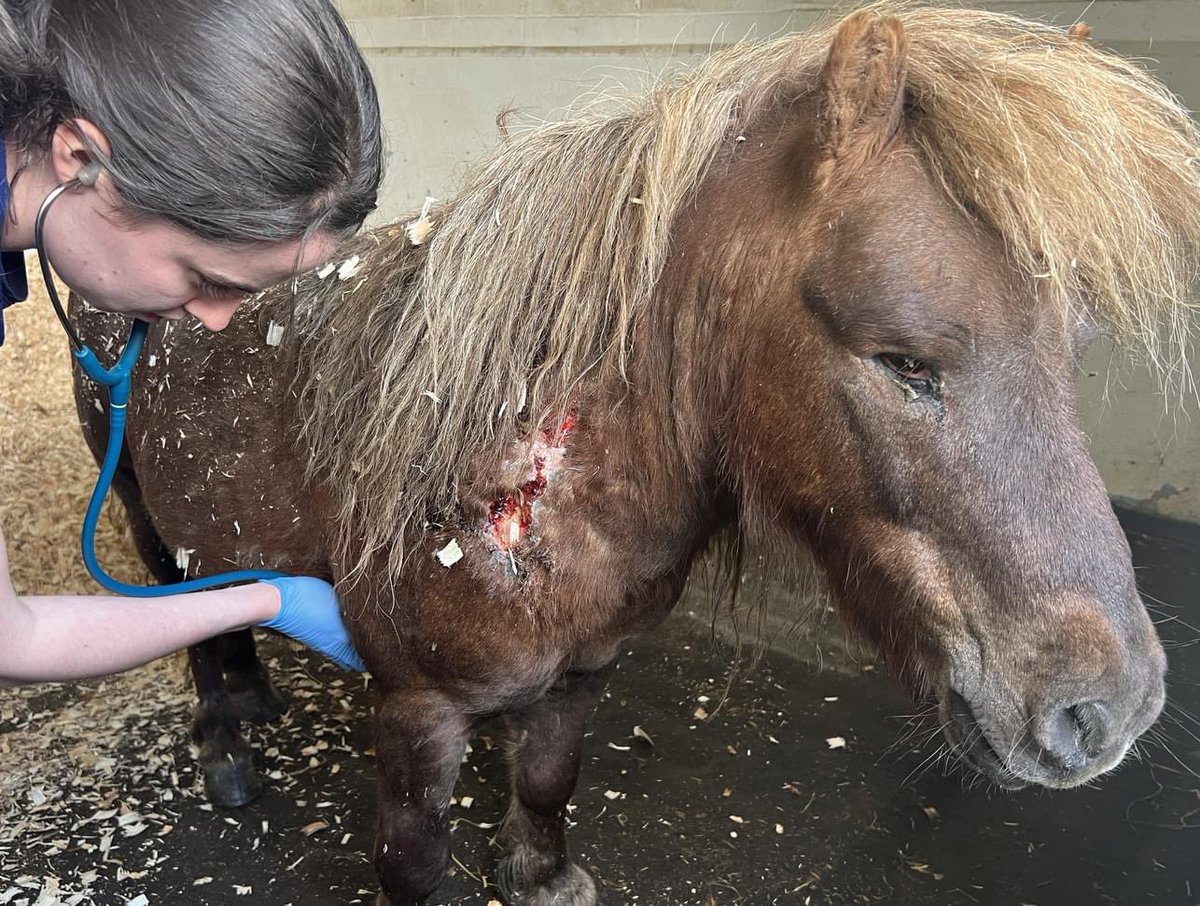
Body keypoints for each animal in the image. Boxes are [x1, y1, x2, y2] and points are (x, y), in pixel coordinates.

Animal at [72, 7, 1200, 906]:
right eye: (904, 360)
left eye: (1075, 349)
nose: (1109, 710)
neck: (535, 479)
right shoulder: (416, 711)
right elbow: (412, 861)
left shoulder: (584, 675)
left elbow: (547, 779)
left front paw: (540, 876)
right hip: (134, 503)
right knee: (182, 615)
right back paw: (226, 746)